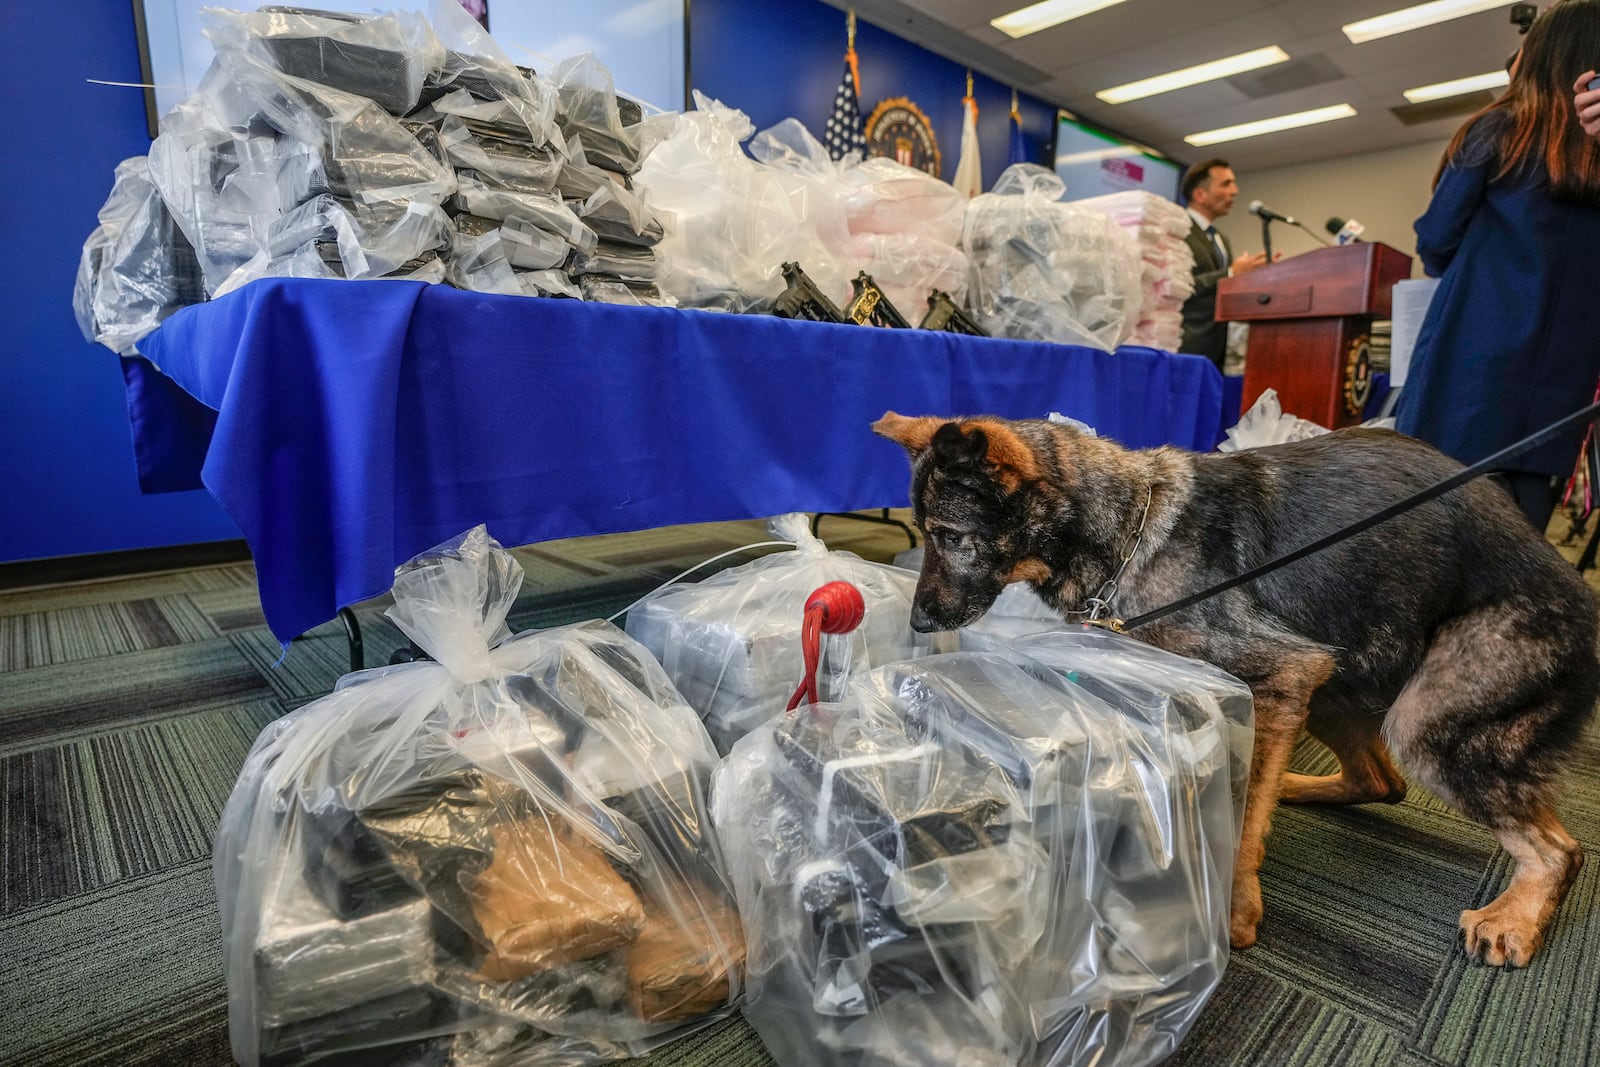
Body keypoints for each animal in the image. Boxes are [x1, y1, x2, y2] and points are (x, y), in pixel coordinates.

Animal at [876, 412, 1600, 966]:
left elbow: (1247, 815)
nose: (917, 624)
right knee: (1381, 780)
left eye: (951, 537)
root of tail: (1580, 594)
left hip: (1421, 723)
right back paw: (1302, 786)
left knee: (1561, 850)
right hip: (1340, 685)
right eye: (929, 534)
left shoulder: (1282, 677)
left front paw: (1233, 911)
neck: (1131, 528)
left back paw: (1517, 917)